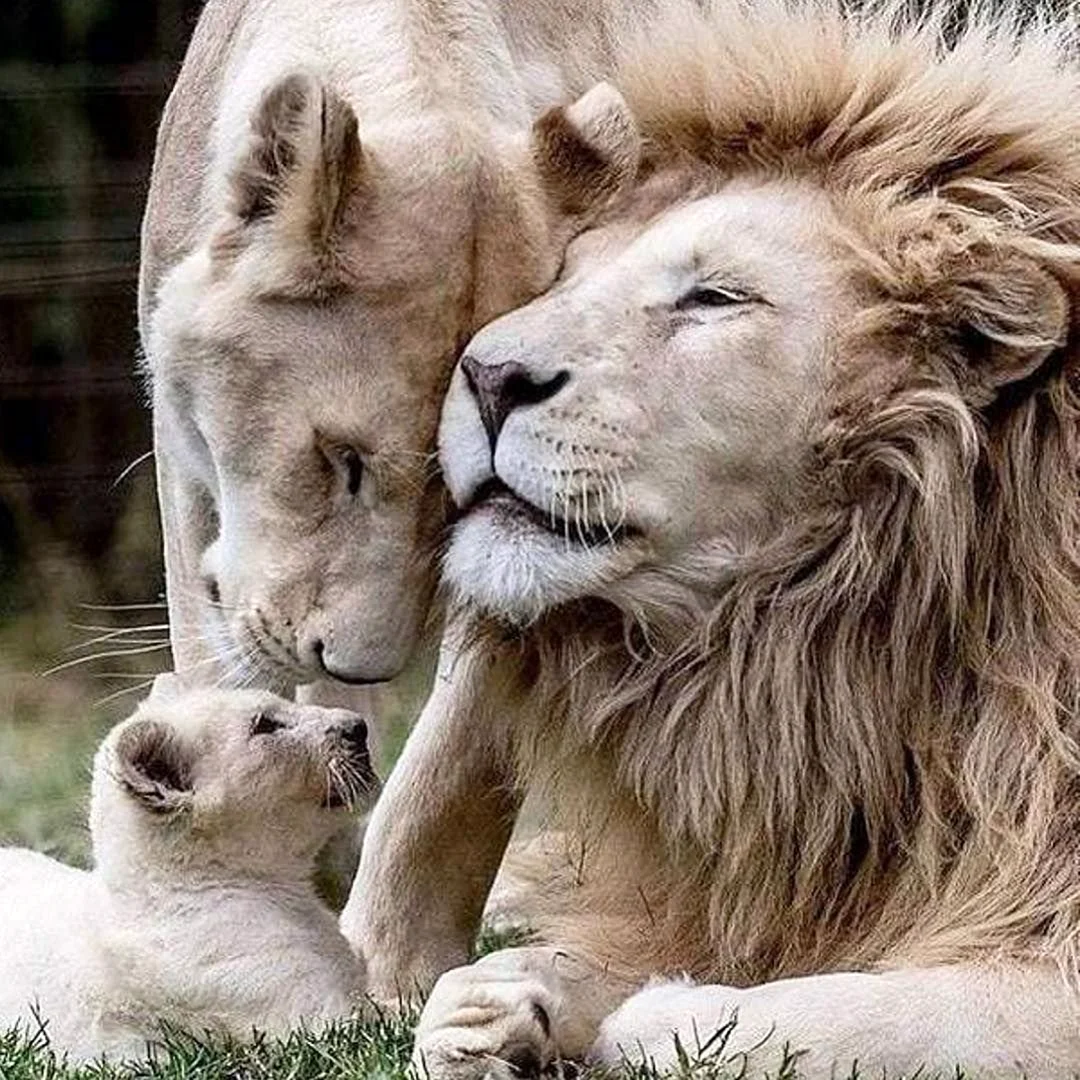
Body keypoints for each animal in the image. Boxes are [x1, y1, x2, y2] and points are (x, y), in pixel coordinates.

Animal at [341, 2, 1080, 1075]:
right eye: (564, 275)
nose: (485, 375)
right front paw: (499, 1006)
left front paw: (634, 1013)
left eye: (715, 298)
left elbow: (827, 1017)